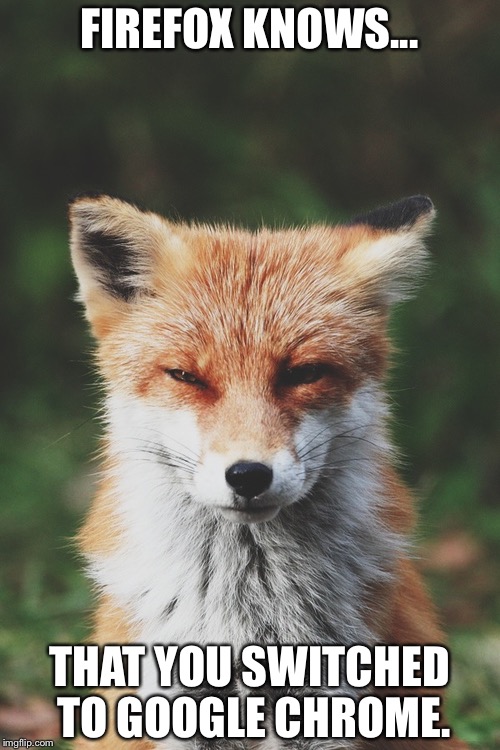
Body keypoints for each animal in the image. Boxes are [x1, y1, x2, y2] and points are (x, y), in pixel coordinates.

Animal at [69, 193, 468, 750]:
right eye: (186, 376)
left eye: (303, 374)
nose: (248, 475)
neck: (250, 616)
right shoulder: (170, 704)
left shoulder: (330, 706)